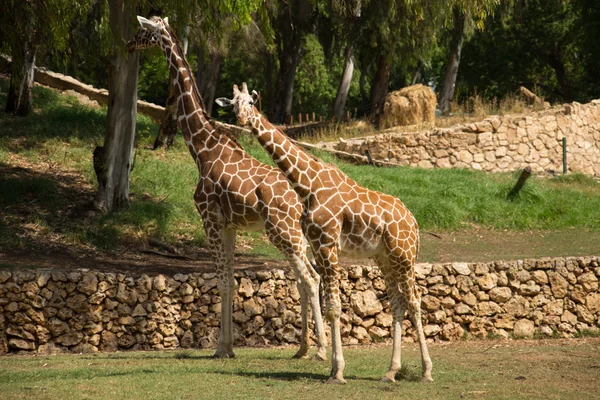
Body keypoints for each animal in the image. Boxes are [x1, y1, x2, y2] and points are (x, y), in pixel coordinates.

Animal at [123, 16, 326, 360]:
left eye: (144, 30)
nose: (128, 44)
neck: (202, 148)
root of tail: (306, 199)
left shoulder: (210, 218)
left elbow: (222, 281)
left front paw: (220, 348)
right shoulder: (230, 225)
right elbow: (230, 279)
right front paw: (229, 347)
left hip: (283, 231)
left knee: (310, 278)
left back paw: (321, 350)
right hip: (297, 235)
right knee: (306, 278)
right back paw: (302, 348)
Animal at [218, 83, 434, 384]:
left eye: (251, 101)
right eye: (232, 104)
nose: (241, 120)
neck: (307, 184)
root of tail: (413, 221)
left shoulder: (328, 244)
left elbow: (334, 306)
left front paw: (337, 371)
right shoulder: (317, 245)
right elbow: (326, 300)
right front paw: (332, 367)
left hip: (404, 254)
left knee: (414, 300)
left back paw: (426, 371)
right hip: (384, 258)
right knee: (398, 302)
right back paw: (391, 371)